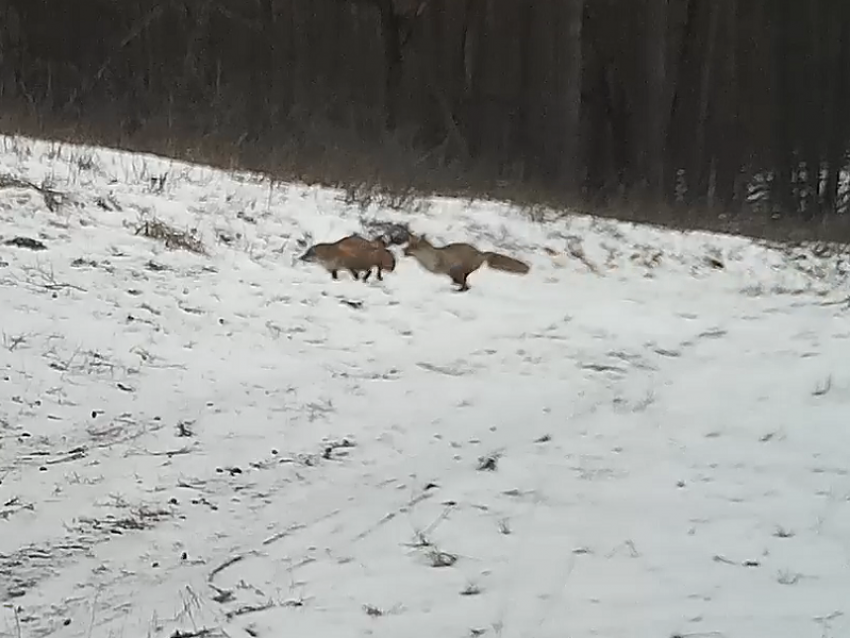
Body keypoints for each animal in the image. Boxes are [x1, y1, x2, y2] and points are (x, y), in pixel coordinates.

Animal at [400, 232, 528, 292]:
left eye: (412, 248)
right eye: (407, 246)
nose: (403, 251)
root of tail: (481, 253)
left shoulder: (448, 267)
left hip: (462, 269)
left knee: (464, 283)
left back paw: (459, 289)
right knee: (464, 282)